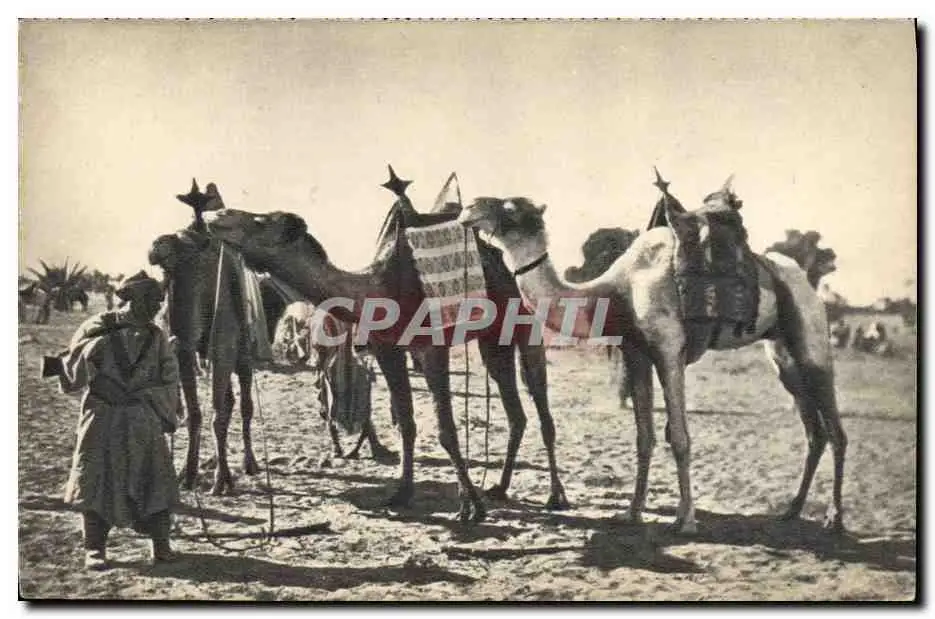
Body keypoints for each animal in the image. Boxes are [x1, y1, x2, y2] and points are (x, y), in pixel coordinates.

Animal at [204, 169, 569, 523]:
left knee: (541, 405)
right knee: (515, 413)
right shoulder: (387, 350)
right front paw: (402, 493)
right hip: (492, 341)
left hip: (524, 324)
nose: (214, 215)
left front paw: (470, 506)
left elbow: (446, 430)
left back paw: (555, 496)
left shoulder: (431, 348)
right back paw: (501, 487)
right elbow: (405, 422)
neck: (378, 290)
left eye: (259, 221)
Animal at [456, 176, 847, 535]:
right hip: (782, 356)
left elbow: (680, 438)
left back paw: (834, 518)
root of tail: (803, 280)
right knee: (815, 433)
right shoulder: (636, 353)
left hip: (811, 340)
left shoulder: (668, 351)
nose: (469, 208)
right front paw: (632, 512)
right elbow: (644, 437)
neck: (617, 291)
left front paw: (685, 520)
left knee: (836, 430)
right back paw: (792, 510)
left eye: (510, 207)